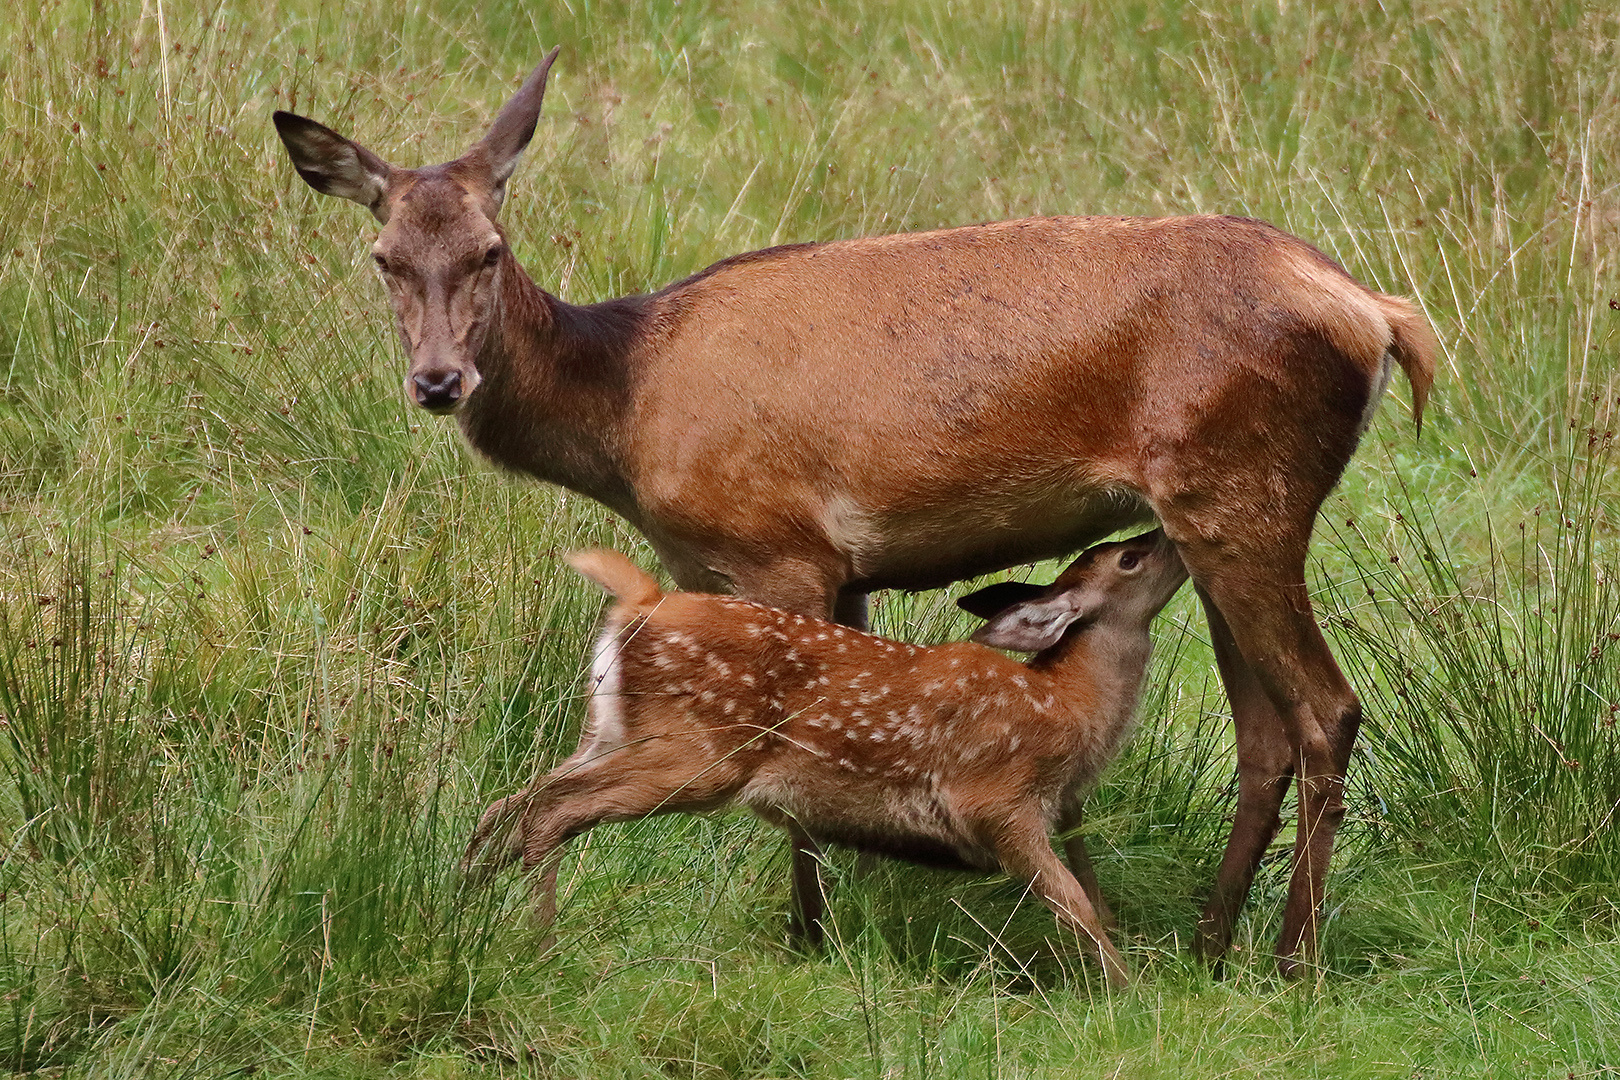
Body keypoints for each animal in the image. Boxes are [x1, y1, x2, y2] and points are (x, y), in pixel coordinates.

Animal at [272, 46, 1438, 977]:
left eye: (489, 251)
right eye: (383, 258)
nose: (439, 381)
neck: (623, 411)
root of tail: (1377, 312)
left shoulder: (778, 545)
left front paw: (810, 939)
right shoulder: (793, 571)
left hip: (1242, 491)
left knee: (1326, 711)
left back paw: (1293, 960)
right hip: (1212, 513)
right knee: (1263, 731)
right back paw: (1209, 945)